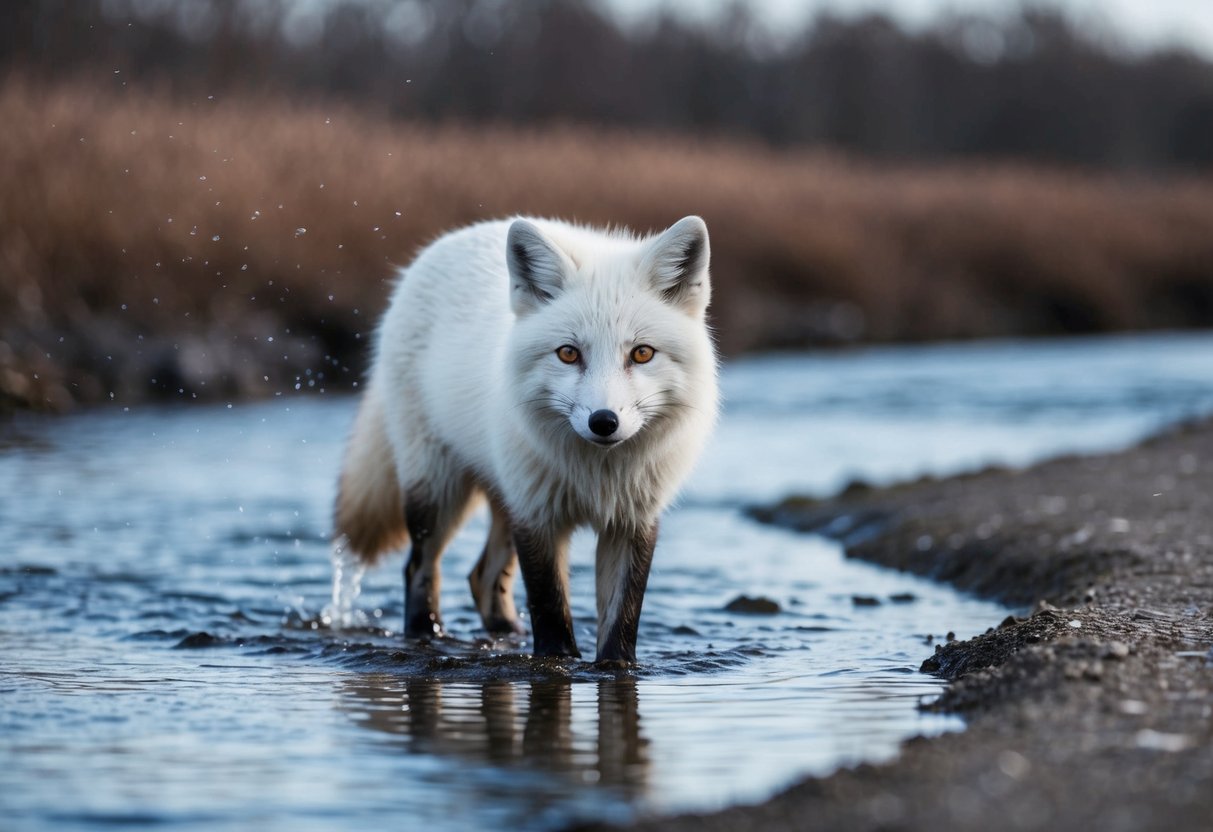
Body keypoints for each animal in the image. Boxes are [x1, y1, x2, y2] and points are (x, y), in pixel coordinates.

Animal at [332, 215, 718, 663]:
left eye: (642, 354)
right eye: (568, 354)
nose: (603, 422)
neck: (596, 476)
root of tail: (457, 236)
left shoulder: (632, 522)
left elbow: (620, 623)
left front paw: (615, 668)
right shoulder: (537, 517)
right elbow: (550, 611)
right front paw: (557, 661)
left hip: (504, 499)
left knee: (481, 577)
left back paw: (504, 636)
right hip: (440, 491)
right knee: (420, 570)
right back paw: (426, 637)